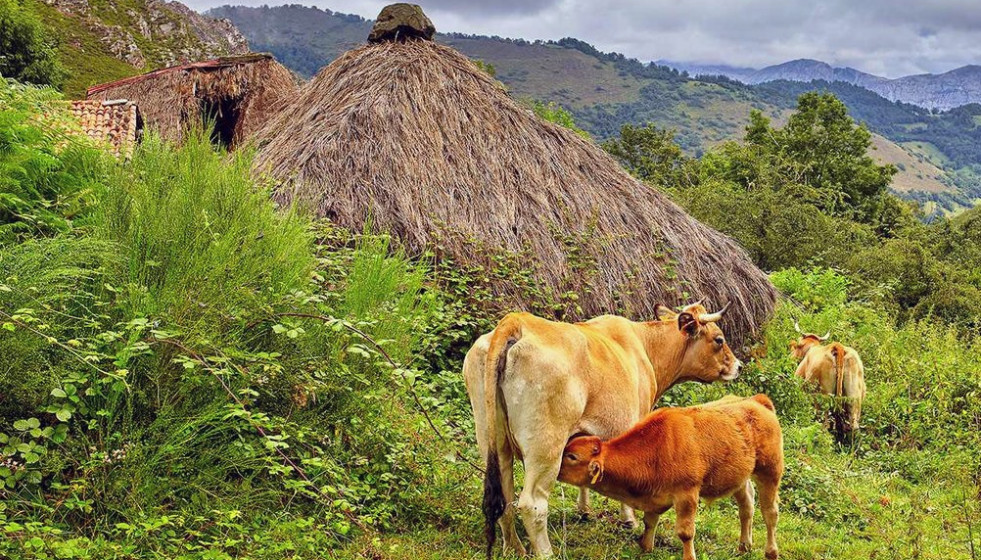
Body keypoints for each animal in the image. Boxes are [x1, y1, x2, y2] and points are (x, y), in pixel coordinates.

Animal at [466, 303, 742, 558]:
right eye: (719, 339)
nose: (738, 366)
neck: (646, 347)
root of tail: (516, 321)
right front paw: (629, 519)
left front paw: (585, 510)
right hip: (545, 447)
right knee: (532, 504)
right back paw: (545, 552)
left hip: (493, 439)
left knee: (504, 496)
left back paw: (514, 548)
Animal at [558, 394, 784, 560]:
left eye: (572, 456)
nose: (555, 467)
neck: (656, 447)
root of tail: (756, 400)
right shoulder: (654, 495)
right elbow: (649, 521)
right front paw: (646, 546)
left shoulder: (687, 493)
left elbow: (685, 532)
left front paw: (689, 556)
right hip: (739, 477)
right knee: (746, 506)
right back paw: (744, 546)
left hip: (770, 471)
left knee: (770, 513)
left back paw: (771, 551)